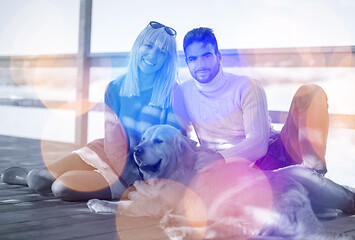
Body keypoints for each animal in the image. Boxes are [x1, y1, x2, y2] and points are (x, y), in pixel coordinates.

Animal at [87, 124, 354, 239]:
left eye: (159, 141)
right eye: (143, 138)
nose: (136, 150)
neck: (177, 166)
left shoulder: (158, 203)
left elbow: (124, 205)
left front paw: (100, 203)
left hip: (229, 201)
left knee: (239, 230)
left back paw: (178, 229)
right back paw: (176, 224)